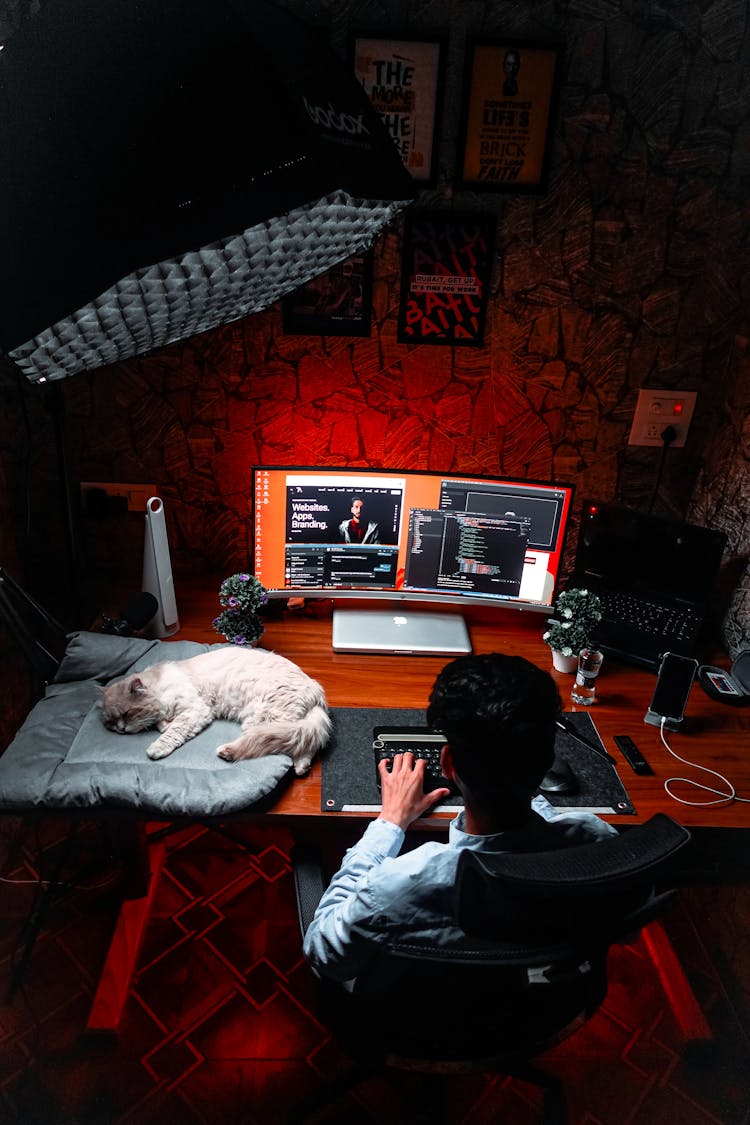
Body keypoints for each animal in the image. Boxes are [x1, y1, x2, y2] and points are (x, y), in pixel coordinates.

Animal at [100, 648, 330, 778]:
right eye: (111, 721)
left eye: (127, 713)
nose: (120, 730)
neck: (159, 686)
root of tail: (316, 691)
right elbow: (164, 724)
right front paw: (163, 724)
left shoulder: (197, 709)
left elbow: (173, 732)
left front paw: (156, 748)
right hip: (290, 722)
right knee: (304, 743)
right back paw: (301, 767)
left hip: (264, 720)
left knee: (285, 741)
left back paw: (227, 752)